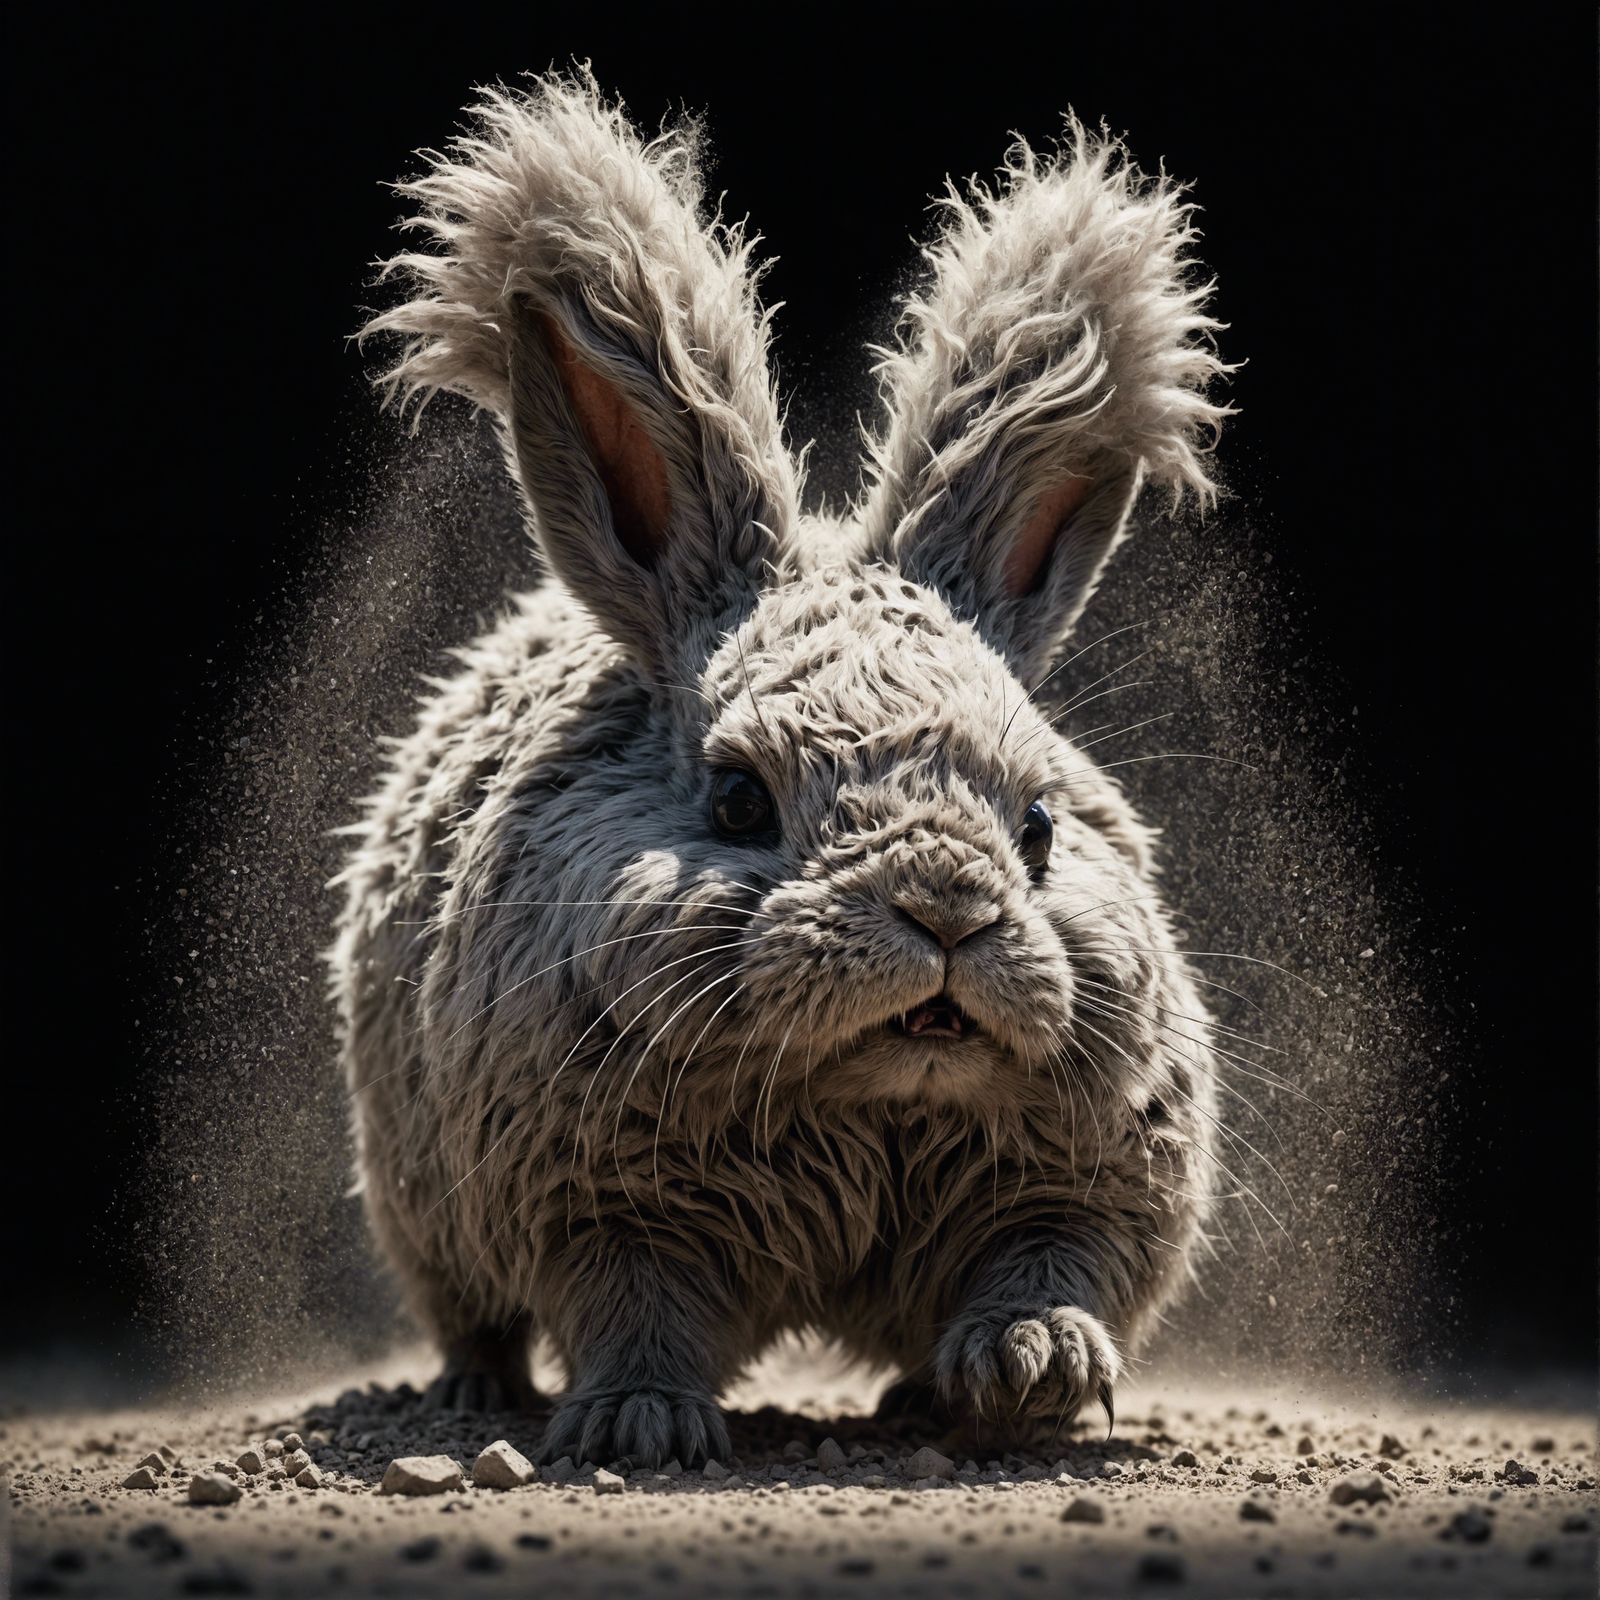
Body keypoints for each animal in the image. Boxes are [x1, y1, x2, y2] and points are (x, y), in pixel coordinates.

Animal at [330, 68, 1234, 1468]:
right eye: (739, 798)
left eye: (1037, 824)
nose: (947, 912)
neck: (870, 1101)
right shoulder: (599, 1205)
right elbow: (635, 1308)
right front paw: (641, 1424)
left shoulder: (1087, 1181)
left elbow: (1048, 1267)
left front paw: (1034, 1368)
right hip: (414, 1198)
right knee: (470, 1313)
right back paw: (475, 1397)